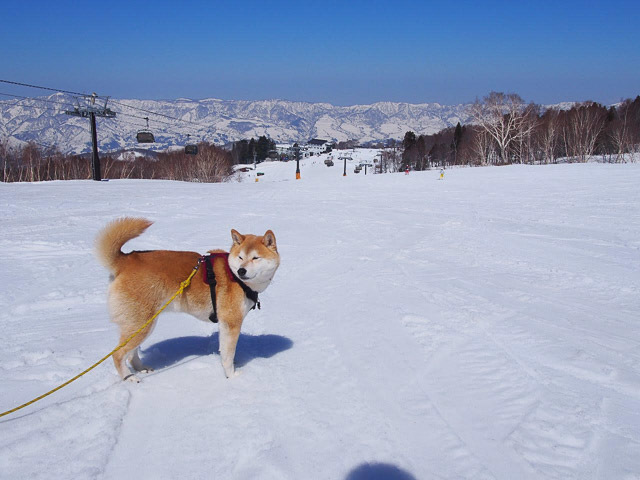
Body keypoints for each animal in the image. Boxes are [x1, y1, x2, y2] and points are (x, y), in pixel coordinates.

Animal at [94, 218, 280, 382]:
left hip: (142, 323)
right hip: (141, 323)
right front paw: (232, 377)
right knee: (118, 354)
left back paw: (141, 368)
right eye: (240, 257)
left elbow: (225, 351)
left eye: (255, 258)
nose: (241, 271)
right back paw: (130, 378)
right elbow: (228, 355)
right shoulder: (231, 322)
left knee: (131, 352)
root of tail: (126, 260)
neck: (236, 277)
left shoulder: (224, 324)